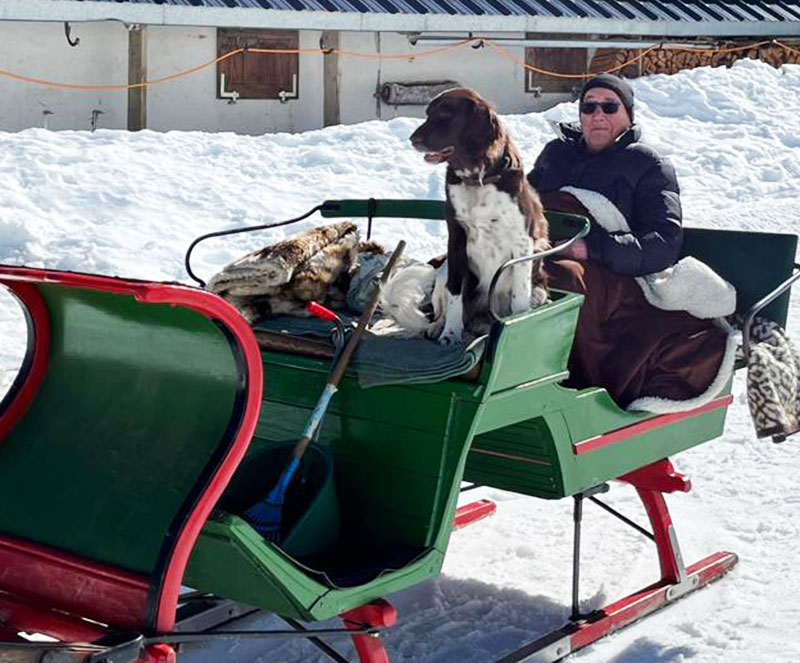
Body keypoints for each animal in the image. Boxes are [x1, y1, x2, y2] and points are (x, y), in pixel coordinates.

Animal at [409, 87, 549, 344]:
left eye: (445, 115)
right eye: (428, 113)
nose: (413, 139)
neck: (478, 179)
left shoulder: (523, 243)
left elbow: (519, 297)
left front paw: (519, 328)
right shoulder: (456, 239)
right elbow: (454, 294)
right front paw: (450, 334)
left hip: (540, 278)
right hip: (442, 270)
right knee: (443, 306)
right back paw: (439, 327)